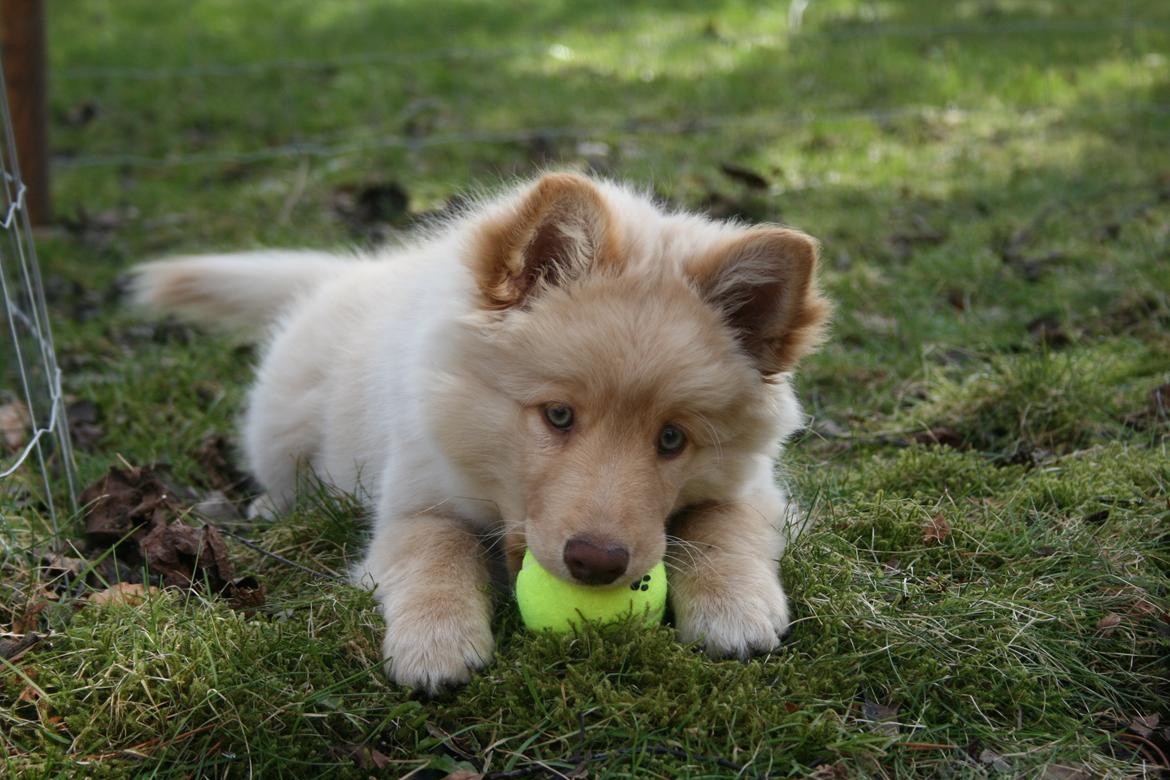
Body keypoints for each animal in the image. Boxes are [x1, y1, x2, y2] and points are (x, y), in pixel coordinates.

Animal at [132, 171, 828, 696]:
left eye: (673, 440)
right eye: (557, 415)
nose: (597, 564)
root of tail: (351, 274)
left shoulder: (753, 486)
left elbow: (721, 525)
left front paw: (734, 610)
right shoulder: (415, 498)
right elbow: (435, 551)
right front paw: (435, 644)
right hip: (279, 426)